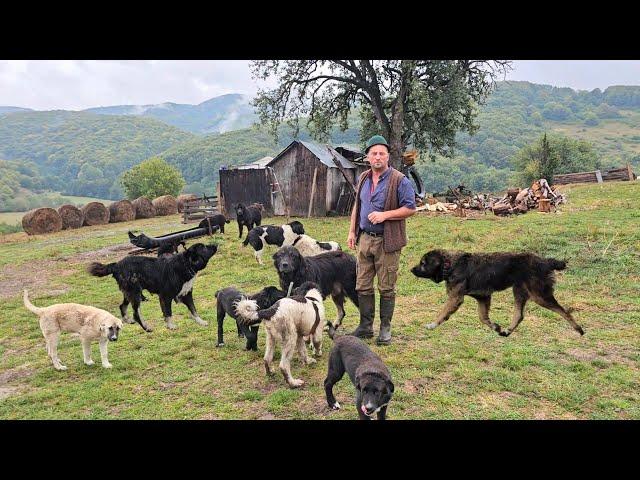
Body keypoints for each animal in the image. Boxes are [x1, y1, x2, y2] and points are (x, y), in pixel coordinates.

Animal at [87, 244, 219, 330]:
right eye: (204, 247)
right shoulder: (165, 296)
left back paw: (127, 320)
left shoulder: (186, 294)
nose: (215, 244)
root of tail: (116, 265)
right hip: (135, 293)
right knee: (136, 313)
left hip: (129, 293)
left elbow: (193, 310)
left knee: (122, 306)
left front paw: (200, 322)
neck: (186, 264)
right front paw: (170, 326)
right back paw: (145, 327)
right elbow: (168, 312)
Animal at [410, 249, 584, 336]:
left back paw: (579, 330)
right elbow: (483, 318)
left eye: (423, 263)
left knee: (564, 311)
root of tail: (546, 261)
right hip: (519, 291)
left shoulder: (456, 298)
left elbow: (442, 313)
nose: (411, 269)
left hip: (539, 295)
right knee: (519, 315)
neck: (450, 264)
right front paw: (496, 327)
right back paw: (507, 331)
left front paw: (432, 325)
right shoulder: (483, 297)